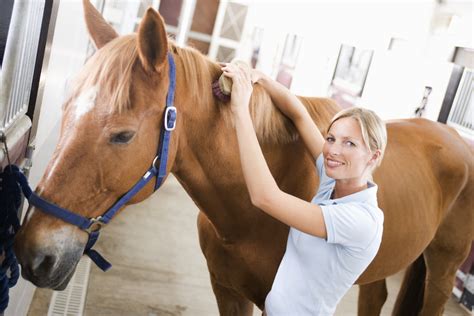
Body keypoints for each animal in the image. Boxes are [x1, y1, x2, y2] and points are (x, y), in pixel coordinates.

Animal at [12, 3, 472, 316]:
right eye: (65, 110)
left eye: (123, 135)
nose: (33, 253)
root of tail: (454, 136)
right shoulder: (227, 290)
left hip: (443, 268)